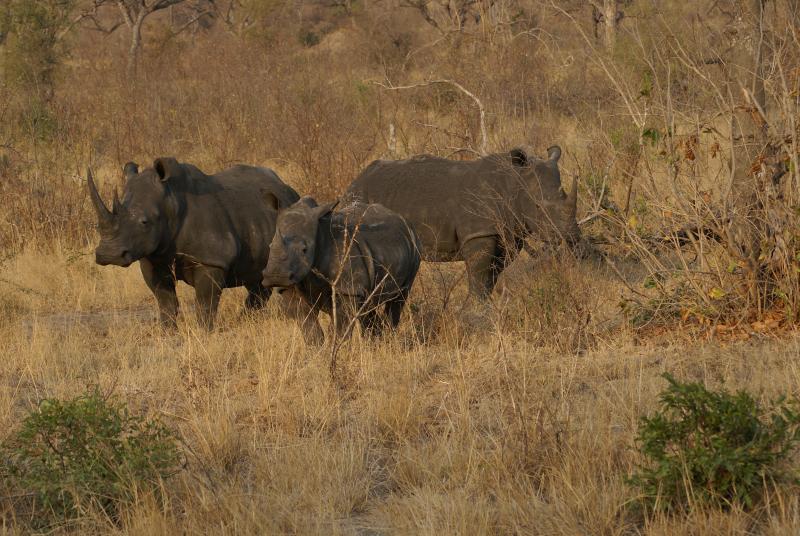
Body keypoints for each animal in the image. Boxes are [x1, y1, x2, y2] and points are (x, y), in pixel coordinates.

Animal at [88, 157, 302, 330]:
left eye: (144, 222)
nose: (108, 255)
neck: (170, 202)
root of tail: (289, 189)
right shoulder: (153, 257)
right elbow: (165, 300)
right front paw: (168, 332)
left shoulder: (212, 259)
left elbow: (205, 303)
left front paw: (205, 331)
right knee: (257, 281)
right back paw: (246, 321)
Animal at [260, 196, 421, 339]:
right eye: (270, 246)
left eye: (304, 250)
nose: (276, 276)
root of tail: (401, 218)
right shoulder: (291, 286)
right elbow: (310, 328)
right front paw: (316, 353)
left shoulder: (348, 288)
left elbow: (339, 329)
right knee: (368, 307)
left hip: (414, 247)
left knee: (398, 298)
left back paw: (389, 340)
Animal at [344, 146, 580, 301]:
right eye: (539, 208)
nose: (572, 237)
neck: (513, 183)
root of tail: (353, 183)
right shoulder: (479, 232)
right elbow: (479, 274)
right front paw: (475, 310)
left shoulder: (509, 233)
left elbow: (492, 275)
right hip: (359, 199)